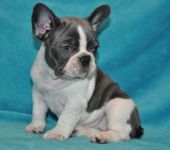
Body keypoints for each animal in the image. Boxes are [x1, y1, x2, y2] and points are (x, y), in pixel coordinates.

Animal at [25, 2, 143, 144]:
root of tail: (137, 124)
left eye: (94, 48)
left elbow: (65, 118)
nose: (86, 58)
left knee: (121, 133)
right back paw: (80, 131)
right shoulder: (38, 94)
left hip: (117, 106)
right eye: (66, 48)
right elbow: (38, 112)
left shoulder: (74, 103)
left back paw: (103, 137)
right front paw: (36, 126)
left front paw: (58, 132)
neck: (54, 78)